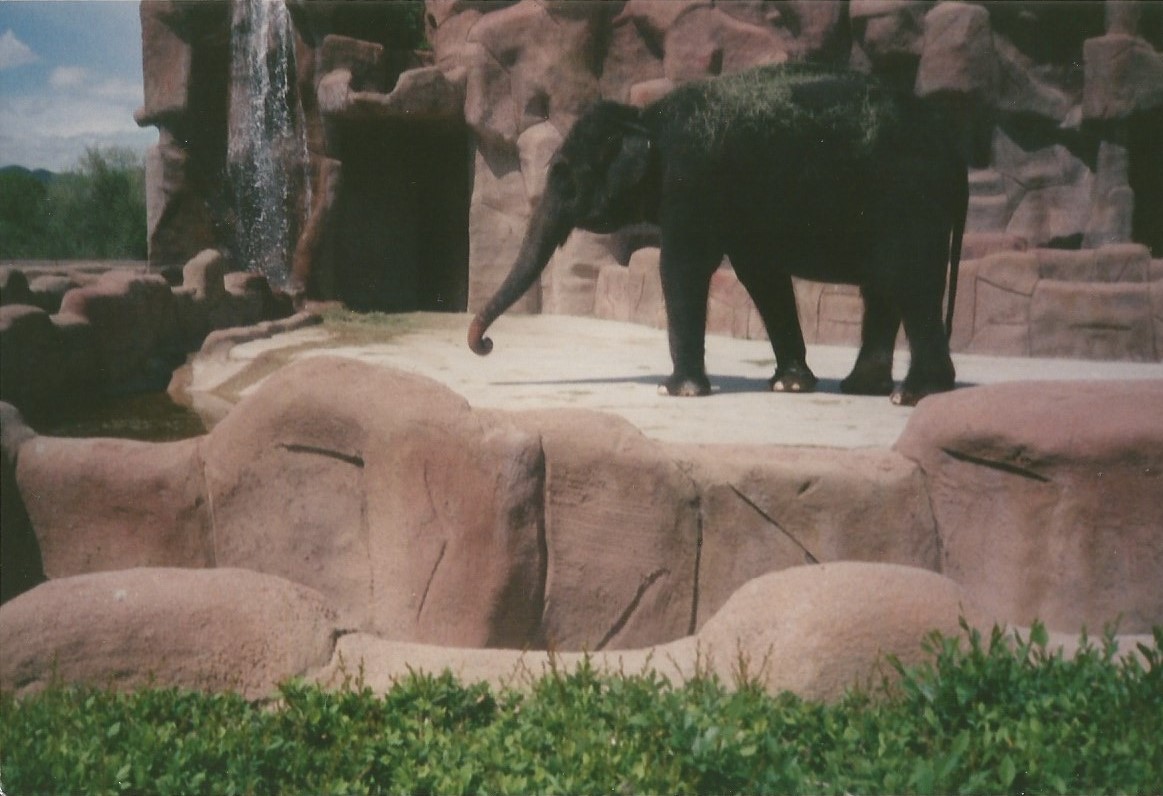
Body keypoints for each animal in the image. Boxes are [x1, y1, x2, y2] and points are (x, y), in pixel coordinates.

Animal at [468, 64, 969, 406]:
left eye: (563, 176)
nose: (486, 346)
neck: (645, 117)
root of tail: (954, 148)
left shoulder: (692, 179)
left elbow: (682, 266)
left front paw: (676, 392)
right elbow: (760, 274)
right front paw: (789, 385)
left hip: (909, 198)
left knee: (909, 278)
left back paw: (914, 395)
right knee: (885, 285)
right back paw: (865, 388)